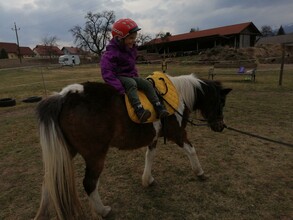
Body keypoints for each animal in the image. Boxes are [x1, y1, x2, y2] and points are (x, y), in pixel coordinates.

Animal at [33, 73, 230, 218]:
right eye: (220, 102)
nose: (220, 126)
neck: (178, 95)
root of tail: (64, 96)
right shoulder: (178, 134)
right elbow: (191, 150)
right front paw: (200, 172)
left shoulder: (154, 137)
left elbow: (150, 156)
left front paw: (147, 179)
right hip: (95, 155)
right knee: (89, 183)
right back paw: (103, 210)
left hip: (67, 150)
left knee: (48, 179)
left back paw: (42, 213)